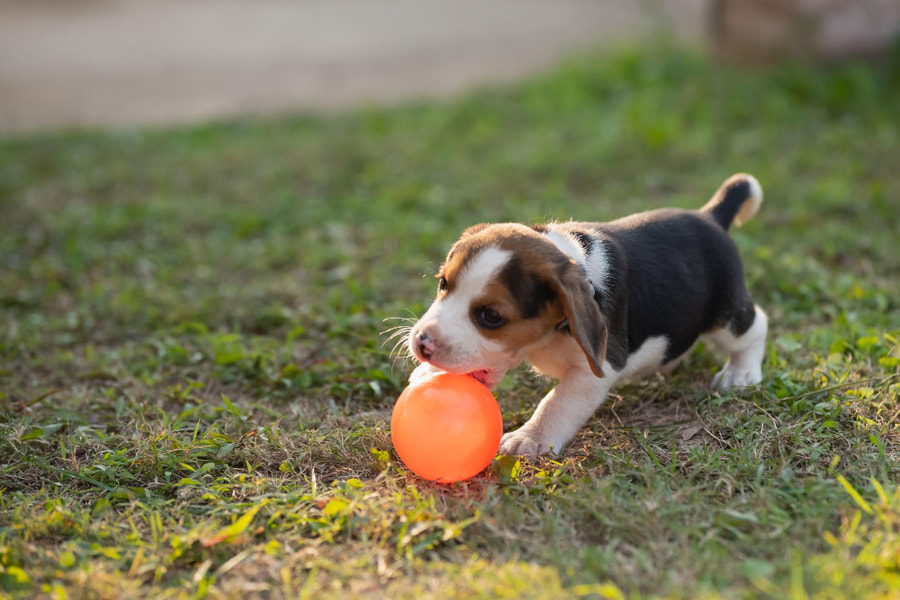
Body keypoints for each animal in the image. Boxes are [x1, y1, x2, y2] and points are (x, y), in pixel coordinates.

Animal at [408, 176, 768, 458]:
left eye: (491, 317)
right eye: (443, 284)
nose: (422, 344)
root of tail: (710, 216)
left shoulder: (595, 369)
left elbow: (556, 403)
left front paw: (529, 438)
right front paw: (428, 373)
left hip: (725, 317)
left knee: (755, 325)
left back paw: (741, 372)